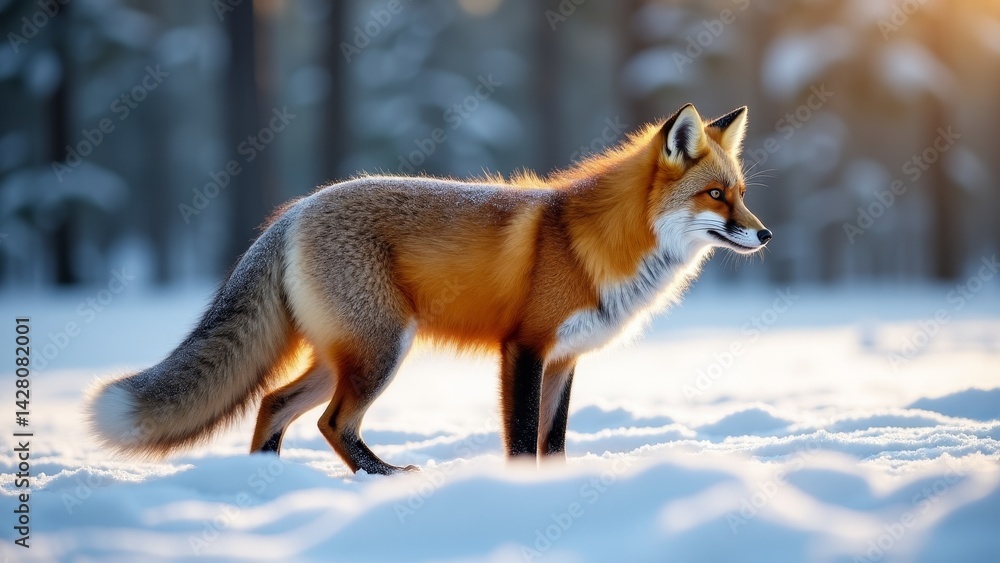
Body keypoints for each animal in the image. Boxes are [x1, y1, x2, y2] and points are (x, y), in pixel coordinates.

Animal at [86, 103, 771, 475]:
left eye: (740, 192)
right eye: (716, 195)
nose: (764, 234)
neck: (597, 245)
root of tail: (294, 211)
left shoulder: (565, 360)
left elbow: (553, 440)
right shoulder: (524, 349)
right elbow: (522, 438)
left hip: (345, 356)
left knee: (274, 403)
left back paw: (270, 486)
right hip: (382, 351)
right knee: (332, 423)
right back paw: (385, 478)